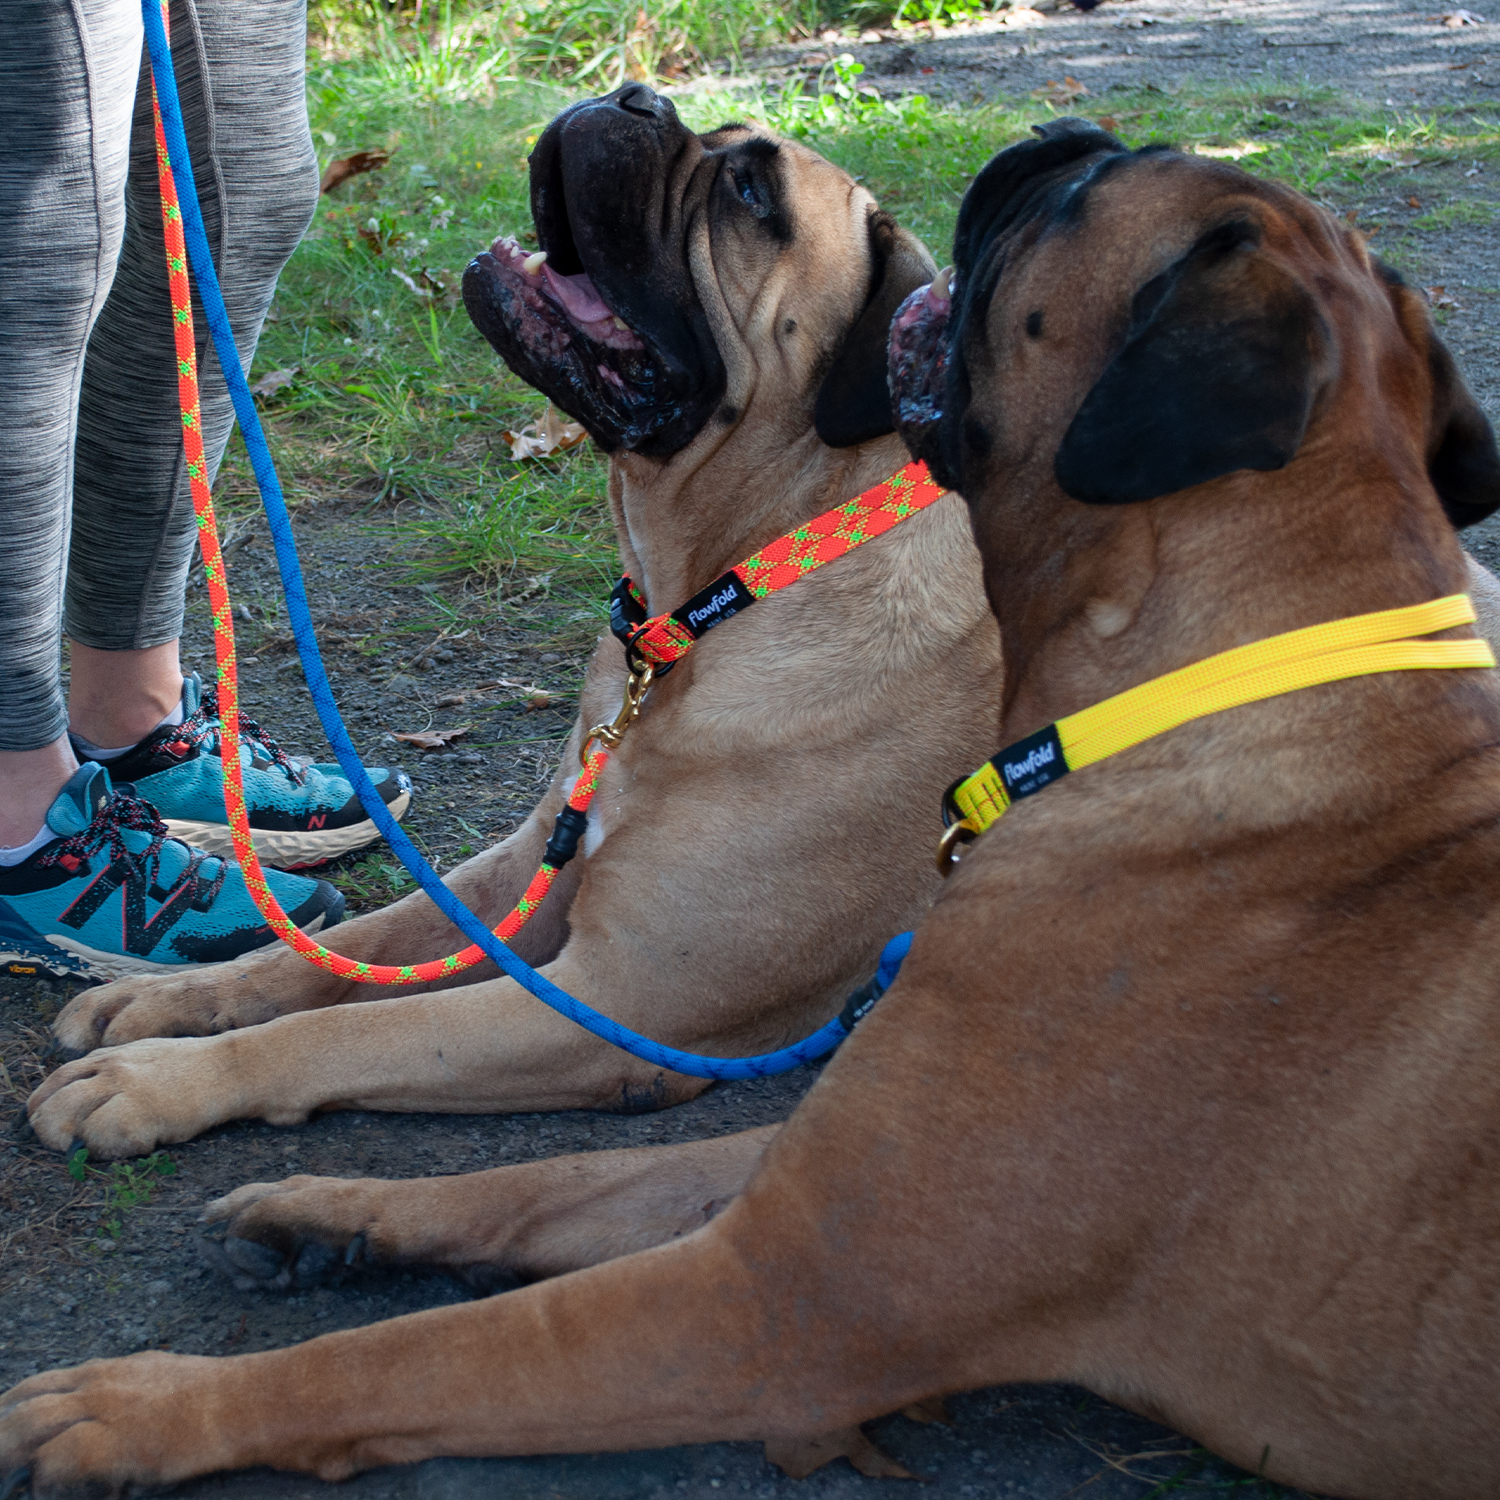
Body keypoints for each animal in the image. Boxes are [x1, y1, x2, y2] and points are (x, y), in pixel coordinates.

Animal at [20, 82, 996, 1152]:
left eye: (749, 194)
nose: (635, 96)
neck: (714, 596)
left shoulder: (620, 1000)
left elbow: (349, 1032)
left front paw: (158, 1080)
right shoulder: (524, 872)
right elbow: (340, 949)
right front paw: (166, 1000)